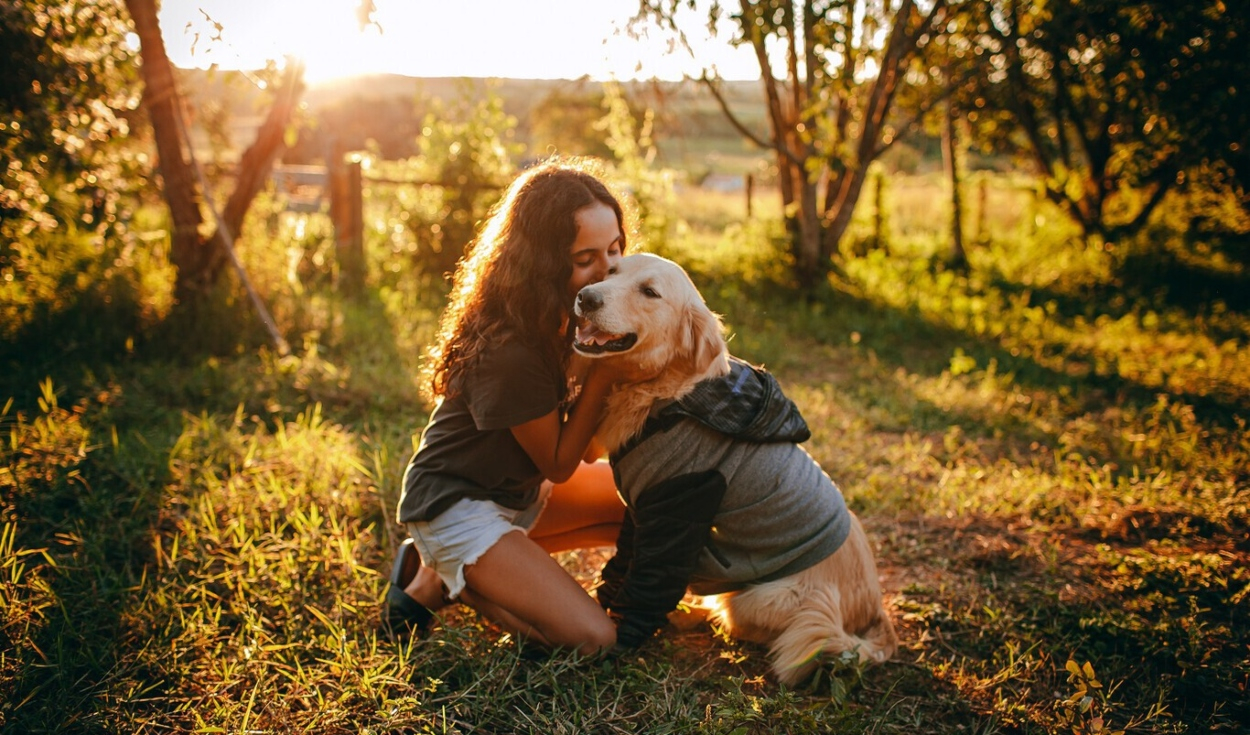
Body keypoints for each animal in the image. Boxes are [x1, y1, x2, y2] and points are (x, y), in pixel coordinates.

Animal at [572, 252, 895, 685]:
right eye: (611, 272)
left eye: (650, 292)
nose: (585, 297)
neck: (667, 397)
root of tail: (874, 612)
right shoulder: (641, 511)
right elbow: (623, 564)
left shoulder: (679, 505)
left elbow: (648, 581)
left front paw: (620, 638)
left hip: (767, 598)